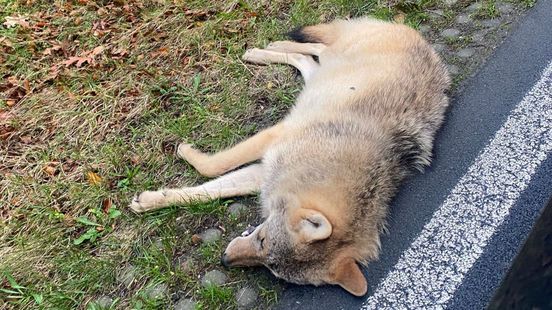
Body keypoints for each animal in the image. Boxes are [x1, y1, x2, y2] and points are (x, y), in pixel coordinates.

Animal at [132, 17, 450, 296]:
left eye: (271, 267)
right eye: (261, 239)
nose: (224, 260)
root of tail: (418, 37)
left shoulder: (264, 175)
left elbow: (207, 190)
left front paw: (150, 199)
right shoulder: (273, 140)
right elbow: (213, 168)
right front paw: (178, 161)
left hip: (319, 78)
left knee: (307, 58)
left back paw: (265, 51)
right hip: (330, 61)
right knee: (315, 48)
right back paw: (264, 49)